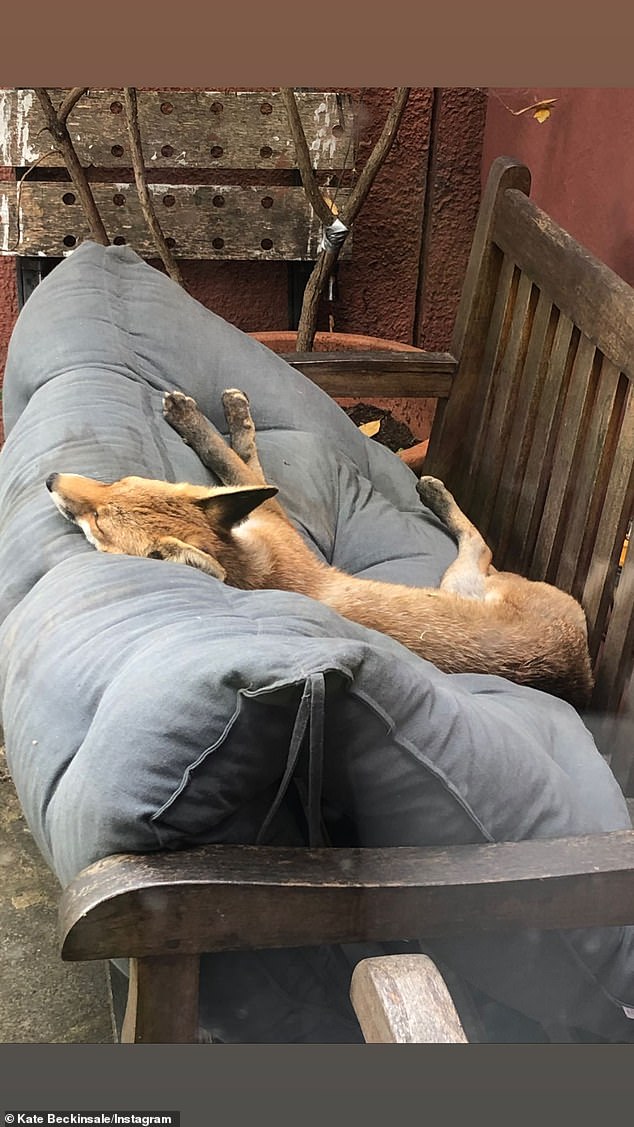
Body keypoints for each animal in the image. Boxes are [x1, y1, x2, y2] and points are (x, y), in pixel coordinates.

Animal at [45, 387, 594, 703]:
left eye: (99, 520)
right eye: (115, 483)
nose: (50, 478)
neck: (247, 566)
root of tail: (580, 672)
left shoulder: (272, 513)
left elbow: (230, 454)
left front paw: (201, 416)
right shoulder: (267, 512)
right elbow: (244, 458)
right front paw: (233, 415)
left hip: (460, 574)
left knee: (479, 540)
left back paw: (435, 492)